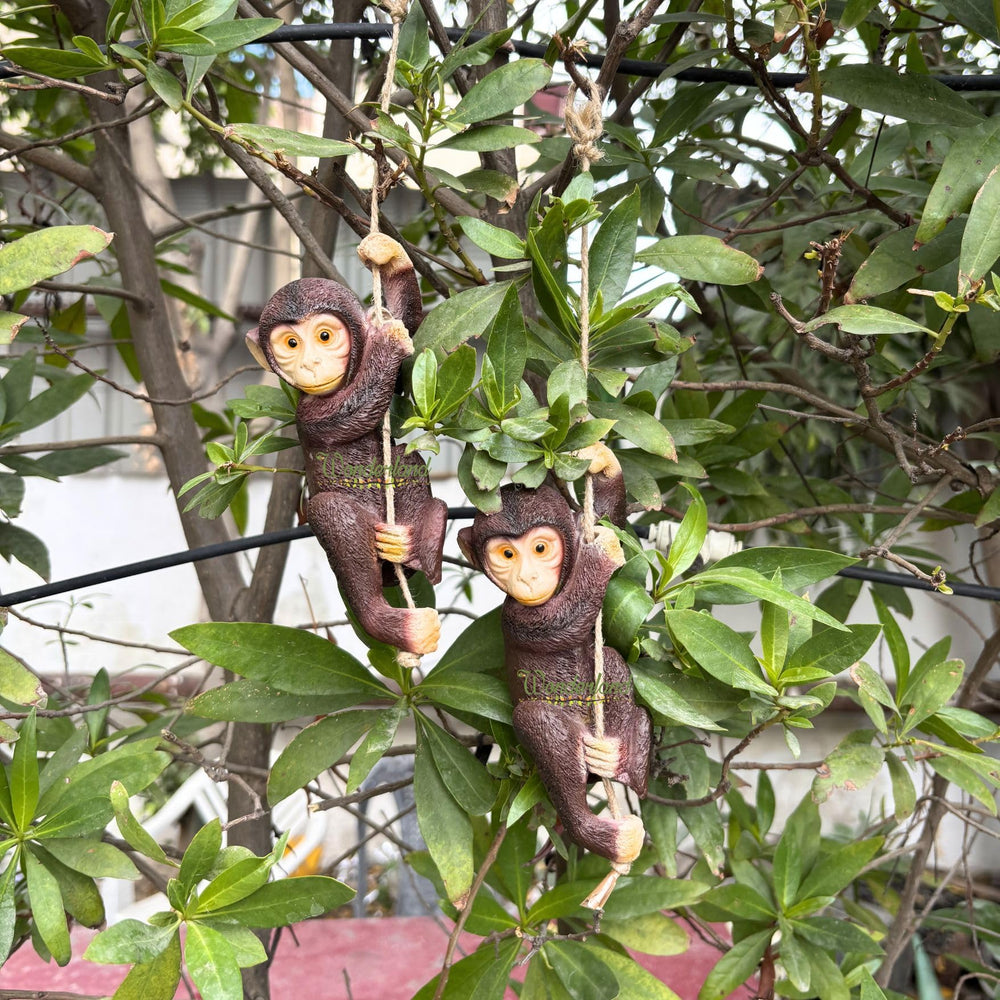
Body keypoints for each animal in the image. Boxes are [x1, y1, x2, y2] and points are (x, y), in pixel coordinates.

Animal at [246, 234, 445, 656]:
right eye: (291, 343)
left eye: (324, 336)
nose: (310, 364)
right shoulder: (307, 414)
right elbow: (355, 407)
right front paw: (388, 344)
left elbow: (406, 317)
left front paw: (389, 253)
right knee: (335, 517)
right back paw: (396, 624)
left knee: (408, 464)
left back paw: (414, 544)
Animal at [458, 446, 651, 865]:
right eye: (507, 554)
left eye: (540, 548)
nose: (528, 578)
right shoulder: (514, 618)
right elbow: (563, 619)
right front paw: (600, 559)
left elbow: (608, 519)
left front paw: (600, 460)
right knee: (539, 724)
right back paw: (600, 833)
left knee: (610, 661)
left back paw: (619, 759)